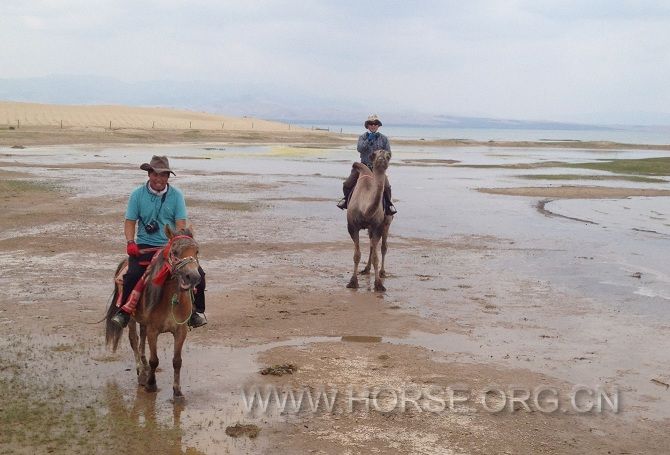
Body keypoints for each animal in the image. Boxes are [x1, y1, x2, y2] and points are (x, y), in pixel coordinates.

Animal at [106, 227, 201, 400]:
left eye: (196, 251)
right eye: (175, 252)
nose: (193, 277)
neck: (171, 298)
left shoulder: (181, 331)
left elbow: (177, 361)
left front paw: (177, 391)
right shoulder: (153, 330)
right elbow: (154, 360)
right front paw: (151, 384)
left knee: (141, 339)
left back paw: (143, 365)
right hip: (131, 319)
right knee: (134, 340)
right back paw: (142, 373)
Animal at [346, 150, 394, 292]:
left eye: (388, 155)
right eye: (374, 154)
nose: (382, 158)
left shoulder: (377, 226)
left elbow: (376, 257)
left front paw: (379, 284)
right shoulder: (352, 226)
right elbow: (357, 255)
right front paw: (353, 282)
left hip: (387, 222)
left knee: (383, 246)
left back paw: (382, 272)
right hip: (369, 229)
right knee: (372, 245)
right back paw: (366, 269)